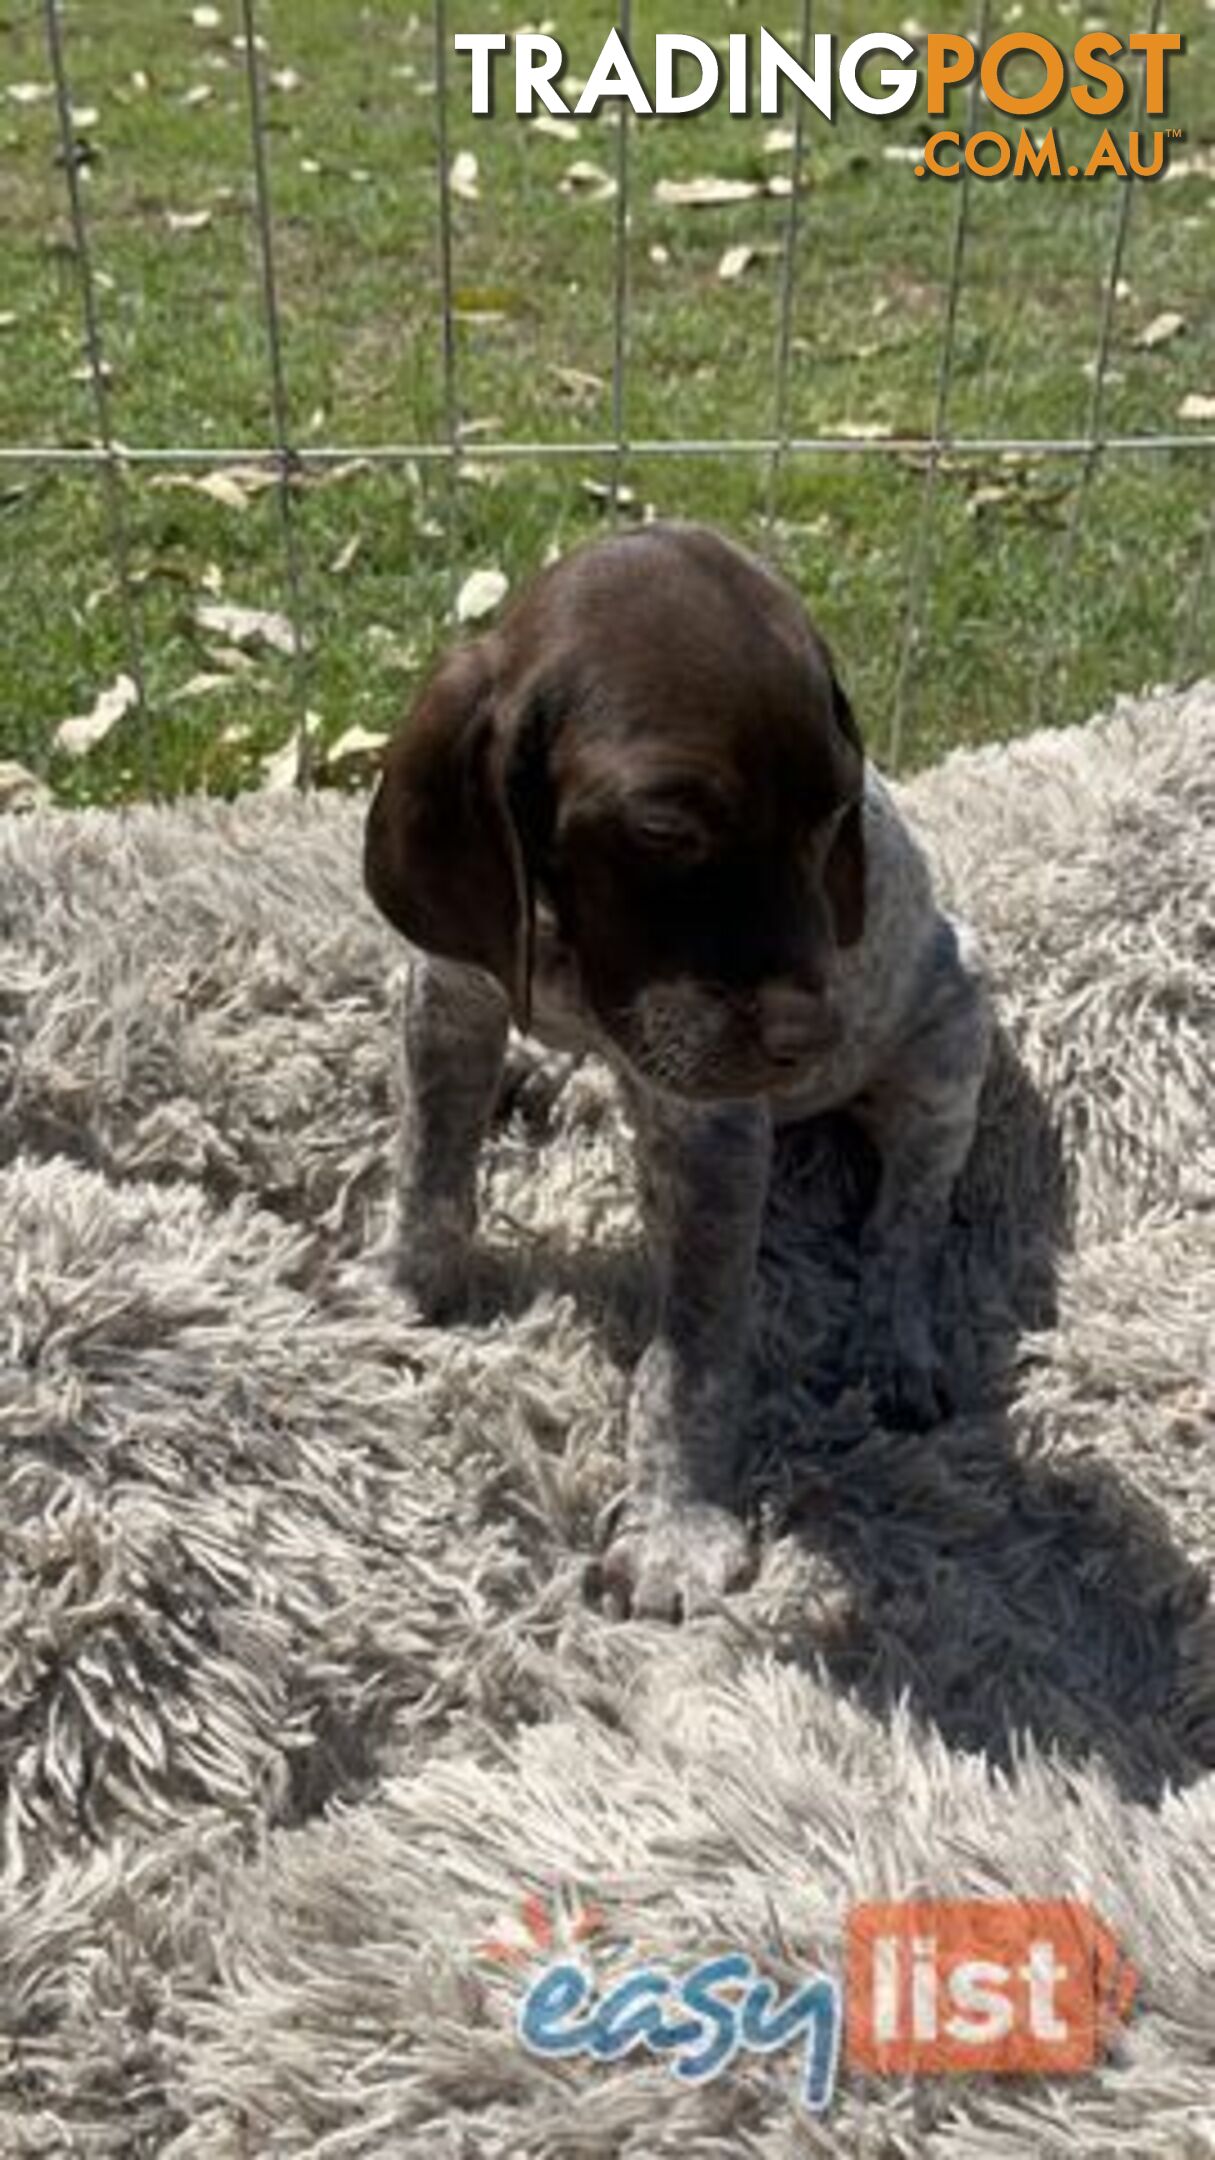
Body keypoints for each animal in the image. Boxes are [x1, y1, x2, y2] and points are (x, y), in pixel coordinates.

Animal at [361, 522, 985, 1624]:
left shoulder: (713, 1128)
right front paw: (406, 1285)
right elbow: (429, 1167)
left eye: (836, 814)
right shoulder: (448, 992)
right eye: (664, 830)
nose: (812, 1036)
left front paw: (676, 1526)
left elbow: (690, 1355)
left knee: (908, 1219)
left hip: (956, 1030)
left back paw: (894, 1341)